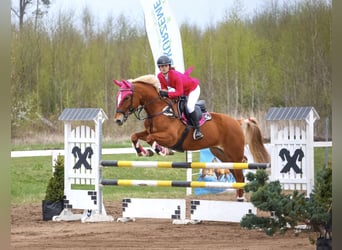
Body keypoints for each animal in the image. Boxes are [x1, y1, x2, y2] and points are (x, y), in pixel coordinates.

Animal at [112, 74, 270, 201]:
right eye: (118, 97)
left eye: (127, 97)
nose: (118, 120)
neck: (159, 110)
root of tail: (237, 121)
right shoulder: (148, 131)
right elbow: (135, 136)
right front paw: (143, 152)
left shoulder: (171, 137)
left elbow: (151, 139)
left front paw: (161, 150)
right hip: (222, 154)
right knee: (236, 175)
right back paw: (239, 197)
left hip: (234, 153)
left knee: (241, 172)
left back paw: (241, 198)